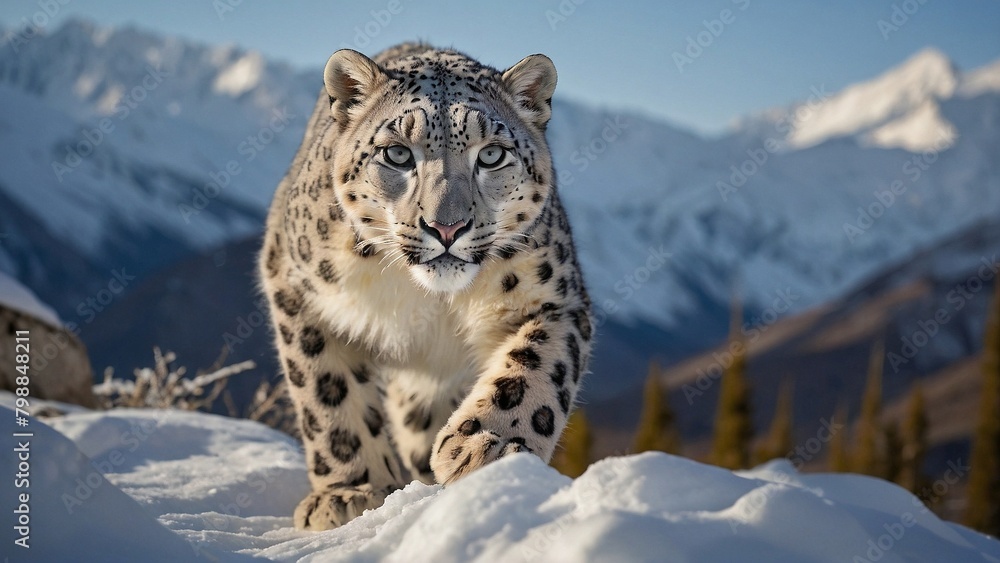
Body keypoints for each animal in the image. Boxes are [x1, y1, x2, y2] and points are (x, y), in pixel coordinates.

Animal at [258, 42, 593, 531]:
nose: (447, 226)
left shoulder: (555, 299)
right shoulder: (296, 286)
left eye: (491, 155)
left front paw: (488, 447)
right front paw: (350, 491)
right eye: (397, 154)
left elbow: (534, 368)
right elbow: (327, 391)